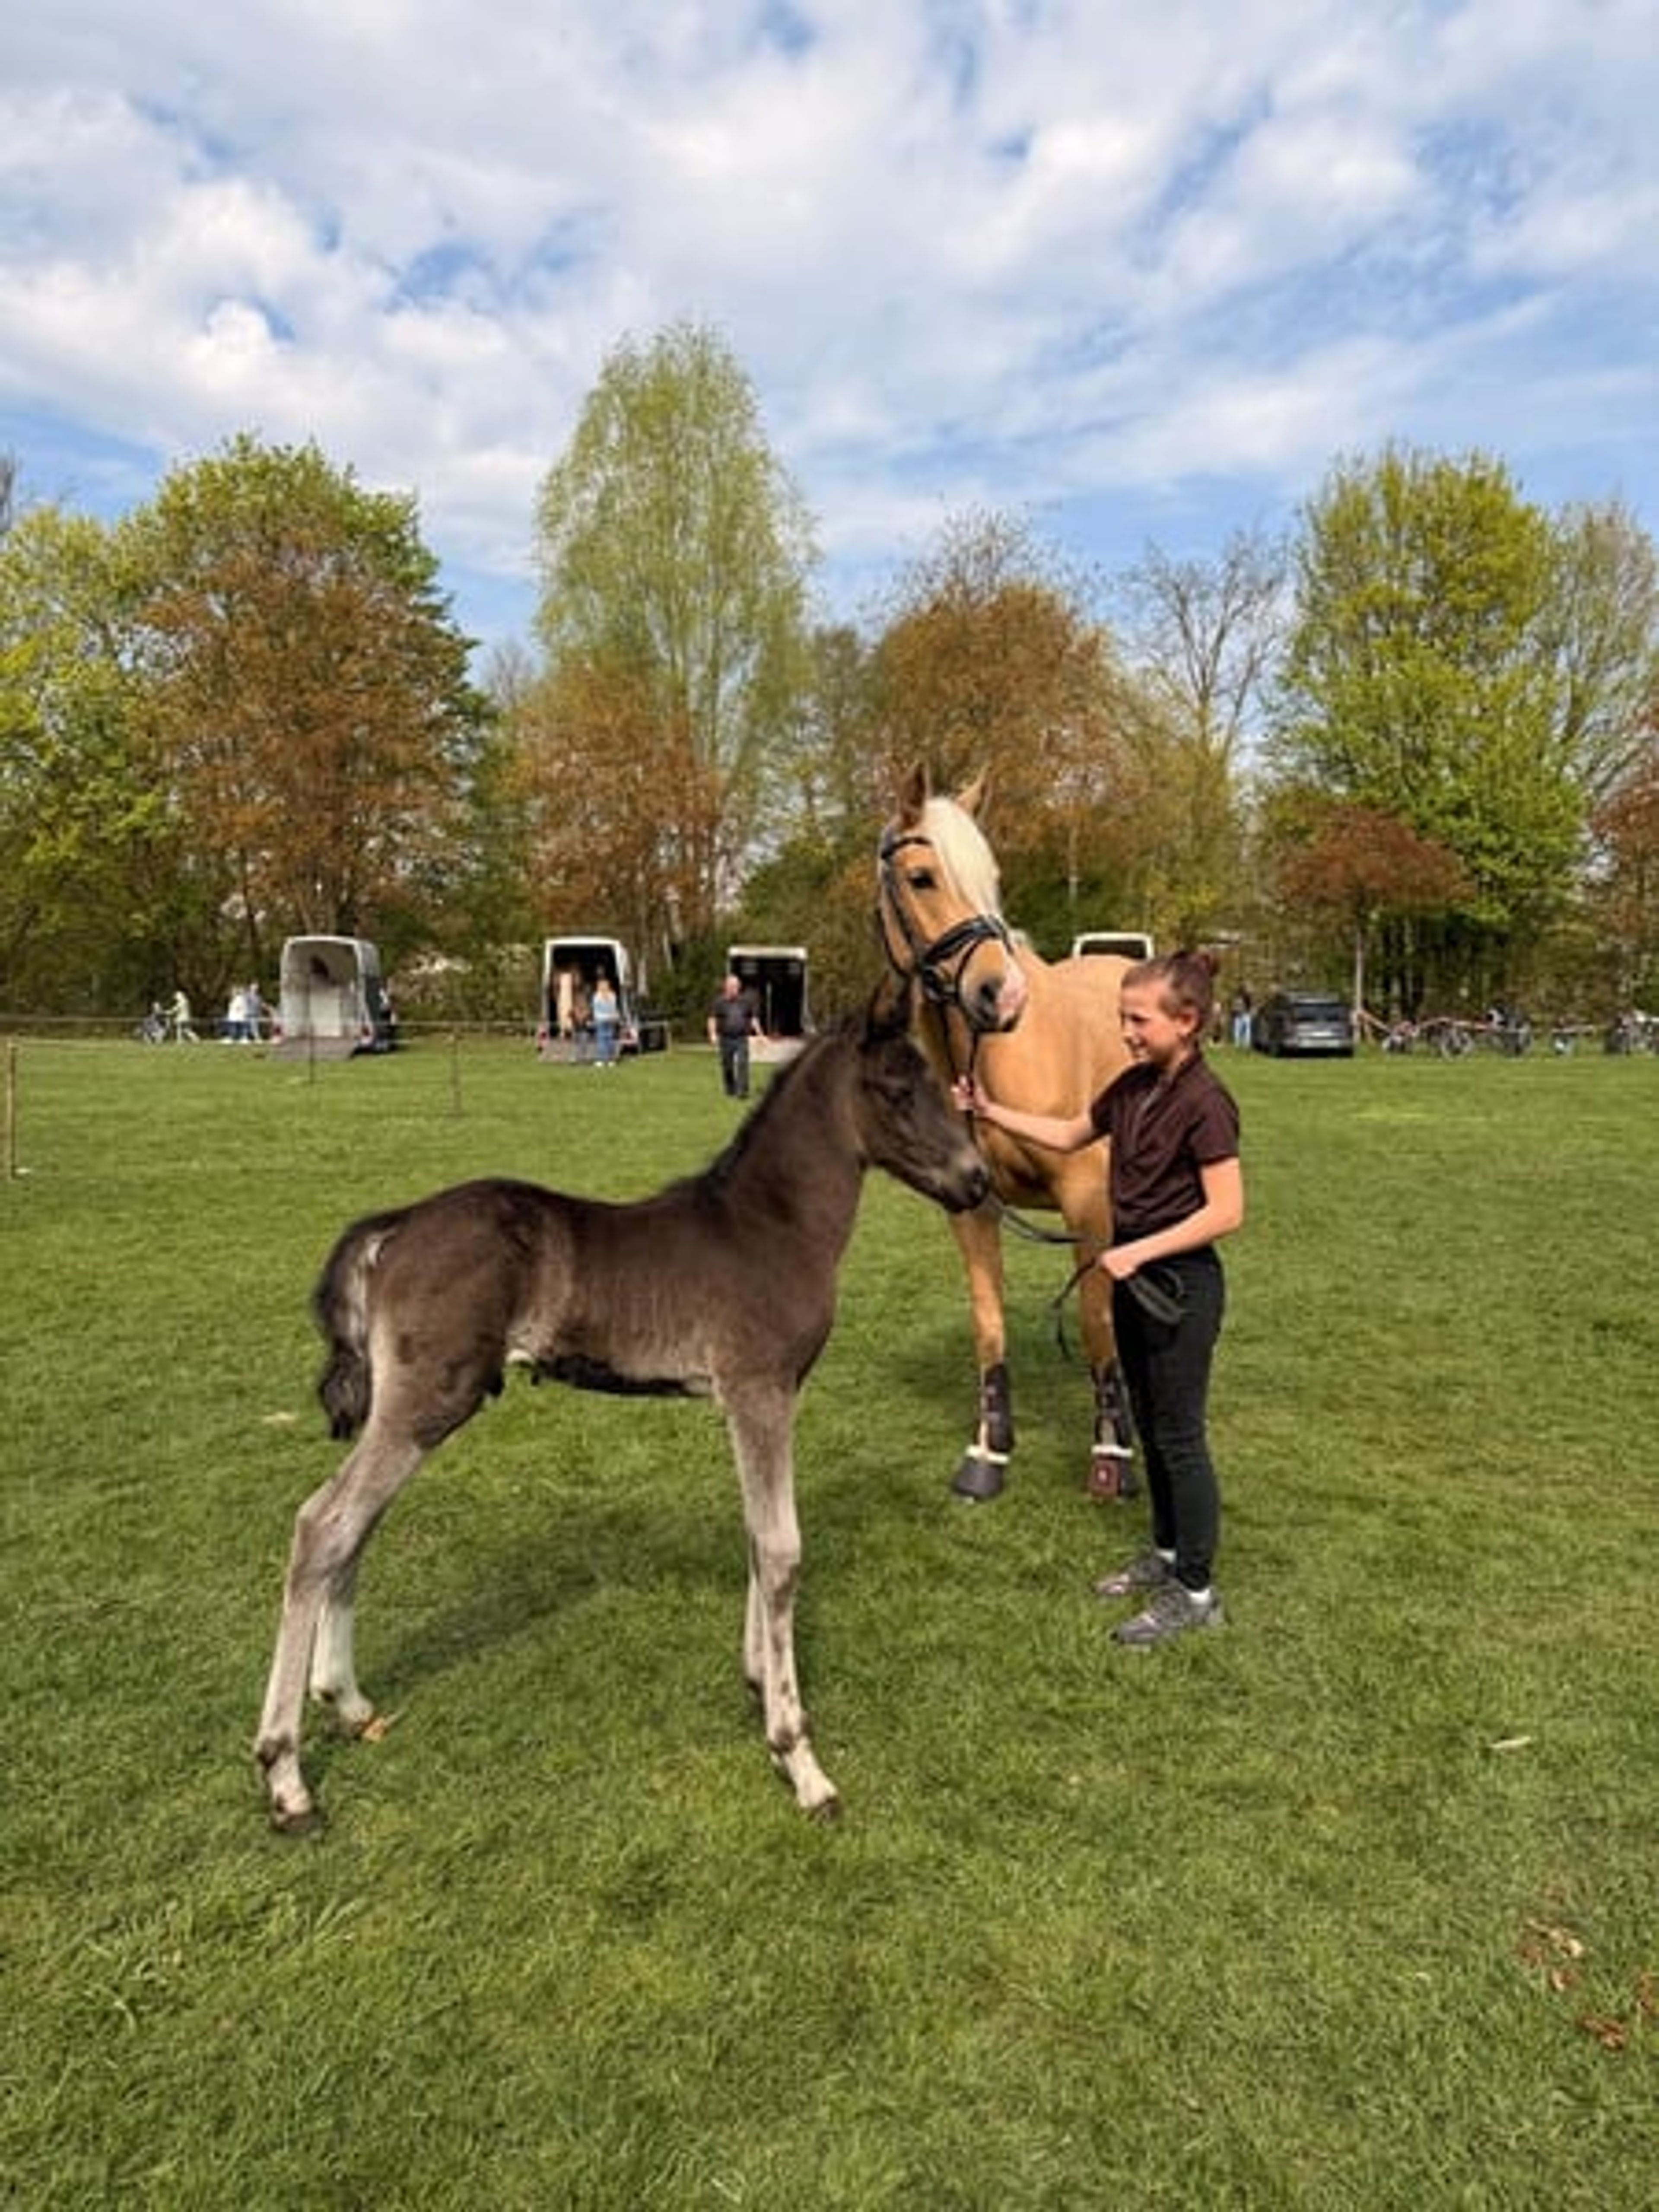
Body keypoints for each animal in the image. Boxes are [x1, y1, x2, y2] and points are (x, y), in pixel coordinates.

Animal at [254, 985, 990, 1831]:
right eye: (899, 1090)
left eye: (938, 1083)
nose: (977, 1181)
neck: (770, 1226)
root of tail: (397, 1225)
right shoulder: (759, 1390)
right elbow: (781, 1551)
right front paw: (798, 1756)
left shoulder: (752, 1403)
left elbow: (755, 1535)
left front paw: (756, 1682)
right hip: (427, 1403)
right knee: (324, 1524)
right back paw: (286, 1777)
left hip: (413, 1411)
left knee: (354, 1527)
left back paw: (345, 1700)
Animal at [876, 765, 1137, 1503]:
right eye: (921, 877)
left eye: (991, 875)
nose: (1004, 996)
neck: (994, 1059)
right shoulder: (972, 1207)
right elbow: (989, 1324)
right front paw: (989, 1452)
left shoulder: (1087, 1201)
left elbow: (1096, 1321)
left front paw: (1113, 1451)